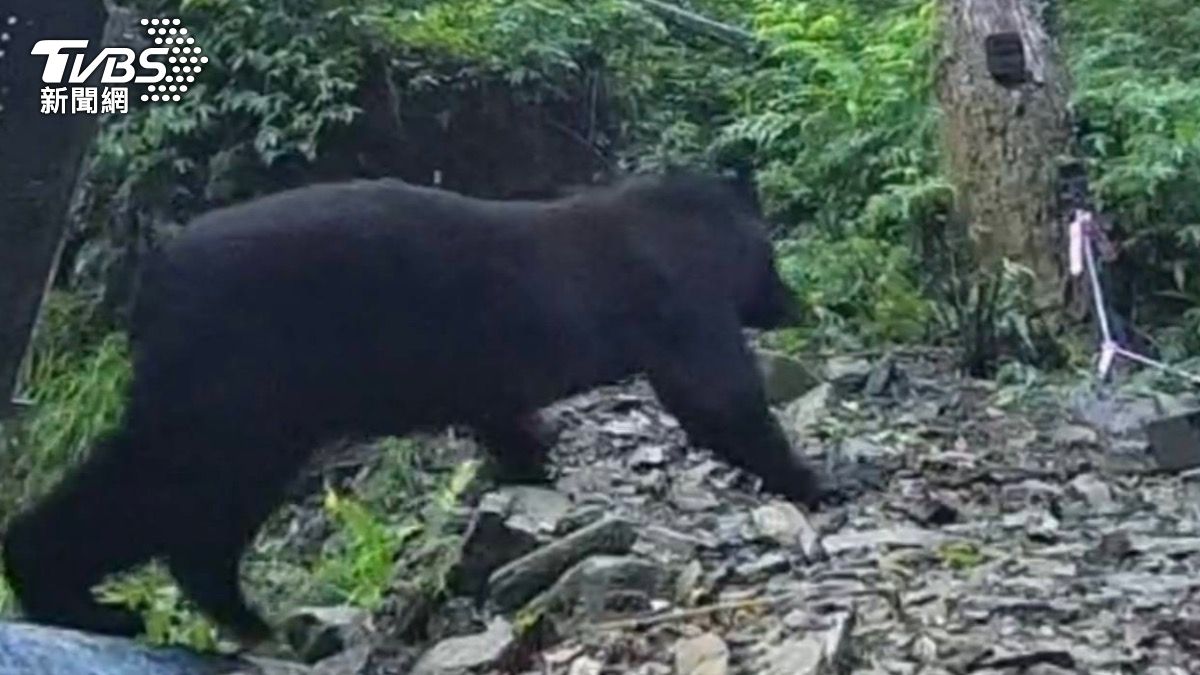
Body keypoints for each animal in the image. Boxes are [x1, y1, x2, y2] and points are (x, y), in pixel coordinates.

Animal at [2, 172, 821, 645]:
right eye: (774, 260)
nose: (799, 304)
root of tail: (153, 274)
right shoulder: (678, 300)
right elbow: (715, 396)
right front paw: (813, 479)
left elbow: (506, 417)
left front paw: (527, 467)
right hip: (234, 383)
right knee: (162, 480)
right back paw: (72, 593)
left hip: (262, 409)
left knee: (205, 508)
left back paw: (234, 614)